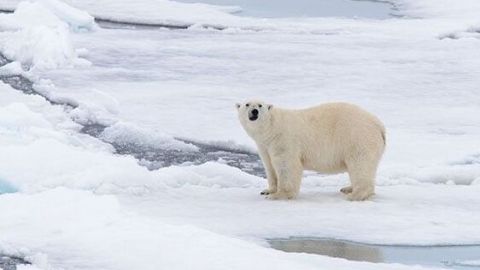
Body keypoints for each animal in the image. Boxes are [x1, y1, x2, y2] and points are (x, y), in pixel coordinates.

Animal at [236, 100, 386, 201]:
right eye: (247, 104)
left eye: (260, 105)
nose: (254, 111)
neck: (272, 128)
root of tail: (379, 125)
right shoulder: (264, 146)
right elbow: (269, 166)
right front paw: (267, 191)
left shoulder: (284, 139)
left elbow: (287, 165)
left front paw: (279, 195)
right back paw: (348, 188)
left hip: (357, 137)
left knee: (359, 164)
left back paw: (354, 194)